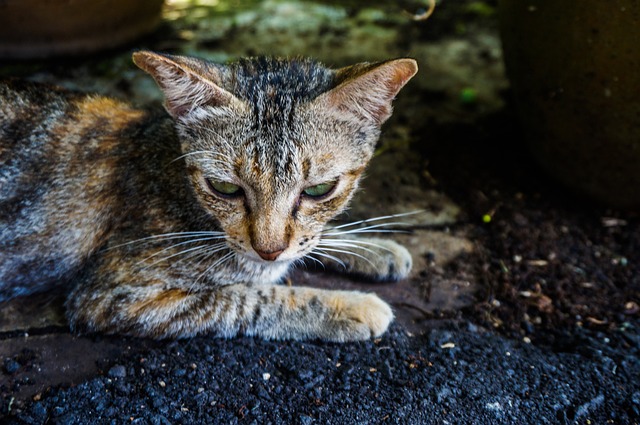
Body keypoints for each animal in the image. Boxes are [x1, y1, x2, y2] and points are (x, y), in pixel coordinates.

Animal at [0, 50, 416, 342]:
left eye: (318, 189)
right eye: (225, 188)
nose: (268, 250)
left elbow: (311, 241)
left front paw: (373, 247)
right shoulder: (110, 297)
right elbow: (246, 298)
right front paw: (345, 306)